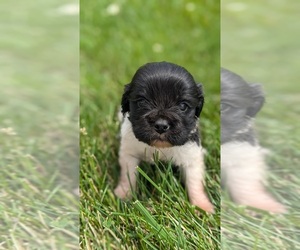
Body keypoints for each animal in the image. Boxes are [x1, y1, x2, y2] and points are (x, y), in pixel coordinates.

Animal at [113, 61, 214, 212]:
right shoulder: (129, 153)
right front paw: (124, 195)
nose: (161, 125)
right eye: (142, 102)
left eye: (183, 106)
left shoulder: (191, 157)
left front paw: (201, 206)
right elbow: (128, 175)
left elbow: (194, 183)